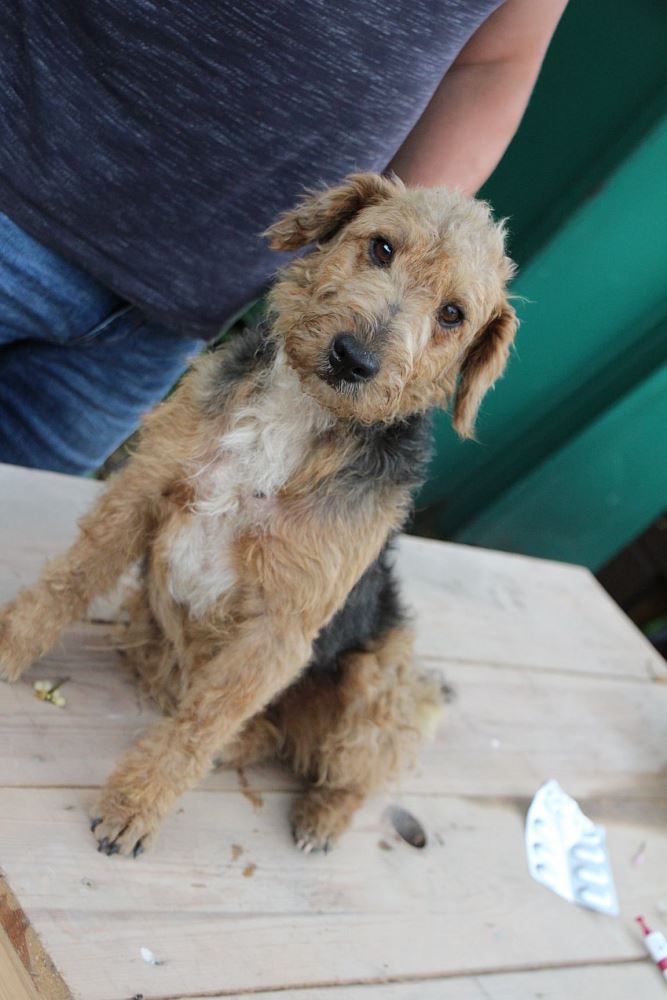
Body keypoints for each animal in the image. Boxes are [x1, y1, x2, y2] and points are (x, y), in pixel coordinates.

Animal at [0, 173, 517, 856]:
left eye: (453, 314)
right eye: (381, 247)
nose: (353, 359)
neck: (299, 415)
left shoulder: (281, 627)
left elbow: (200, 724)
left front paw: (134, 809)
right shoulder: (139, 492)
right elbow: (63, 587)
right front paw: (7, 649)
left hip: (384, 680)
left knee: (358, 766)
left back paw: (321, 817)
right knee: (259, 732)